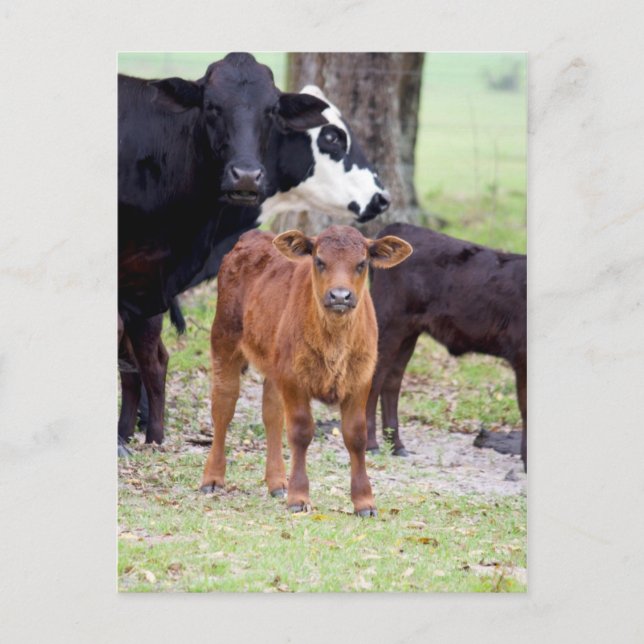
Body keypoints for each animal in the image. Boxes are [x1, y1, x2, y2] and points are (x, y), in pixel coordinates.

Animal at [199, 226, 412, 516]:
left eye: (362, 263)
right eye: (319, 261)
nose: (340, 296)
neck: (335, 342)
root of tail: (251, 236)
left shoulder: (360, 380)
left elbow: (356, 436)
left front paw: (364, 502)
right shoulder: (294, 379)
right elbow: (301, 433)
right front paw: (298, 497)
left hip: (273, 365)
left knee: (272, 413)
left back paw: (277, 483)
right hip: (224, 341)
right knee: (223, 407)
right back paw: (212, 478)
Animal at [365, 223, 527, 470]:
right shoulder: (522, 357)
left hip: (408, 331)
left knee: (392, 381)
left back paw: (397, 446)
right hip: (387, 321)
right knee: (374, 380)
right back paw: (371, 445)